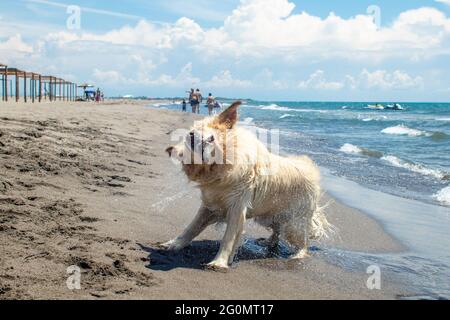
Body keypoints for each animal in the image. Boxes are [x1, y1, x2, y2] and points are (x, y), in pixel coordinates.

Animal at [162, 101, 330, 272]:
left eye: (211, 138)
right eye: (191, 136)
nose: (204, 143)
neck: (220, 168)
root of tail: (313, 172)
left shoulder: (237, 206)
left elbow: (228, 238)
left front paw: (219, 262)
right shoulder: (210, 204)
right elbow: (192, 226)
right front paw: (174, 244)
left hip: (294, 223)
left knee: (303, 241)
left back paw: (297, 255)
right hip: (269, 215)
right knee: (277, 230)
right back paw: (268, 242)